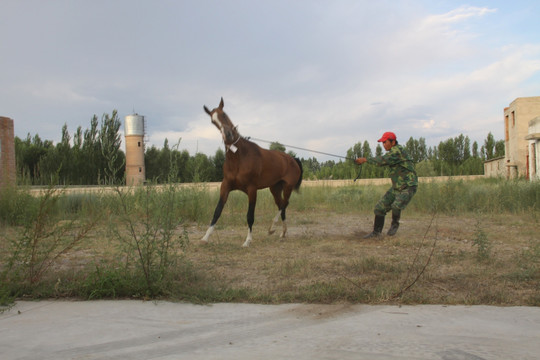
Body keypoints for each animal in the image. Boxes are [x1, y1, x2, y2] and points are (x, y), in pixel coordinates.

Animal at [201, 97, 304, 246]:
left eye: (224, 114)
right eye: (213, 121)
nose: (228, 135)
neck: (239, 157)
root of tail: (293, 159)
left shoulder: (252, 189)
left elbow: (250, 216)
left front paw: (247, 241)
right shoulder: (225, 187)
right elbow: (217, 212)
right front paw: (205, 237)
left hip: (288, 187)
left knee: (285, 204)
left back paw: (272, 228)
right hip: (275, 188)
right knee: (281, 205)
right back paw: (282, 232)